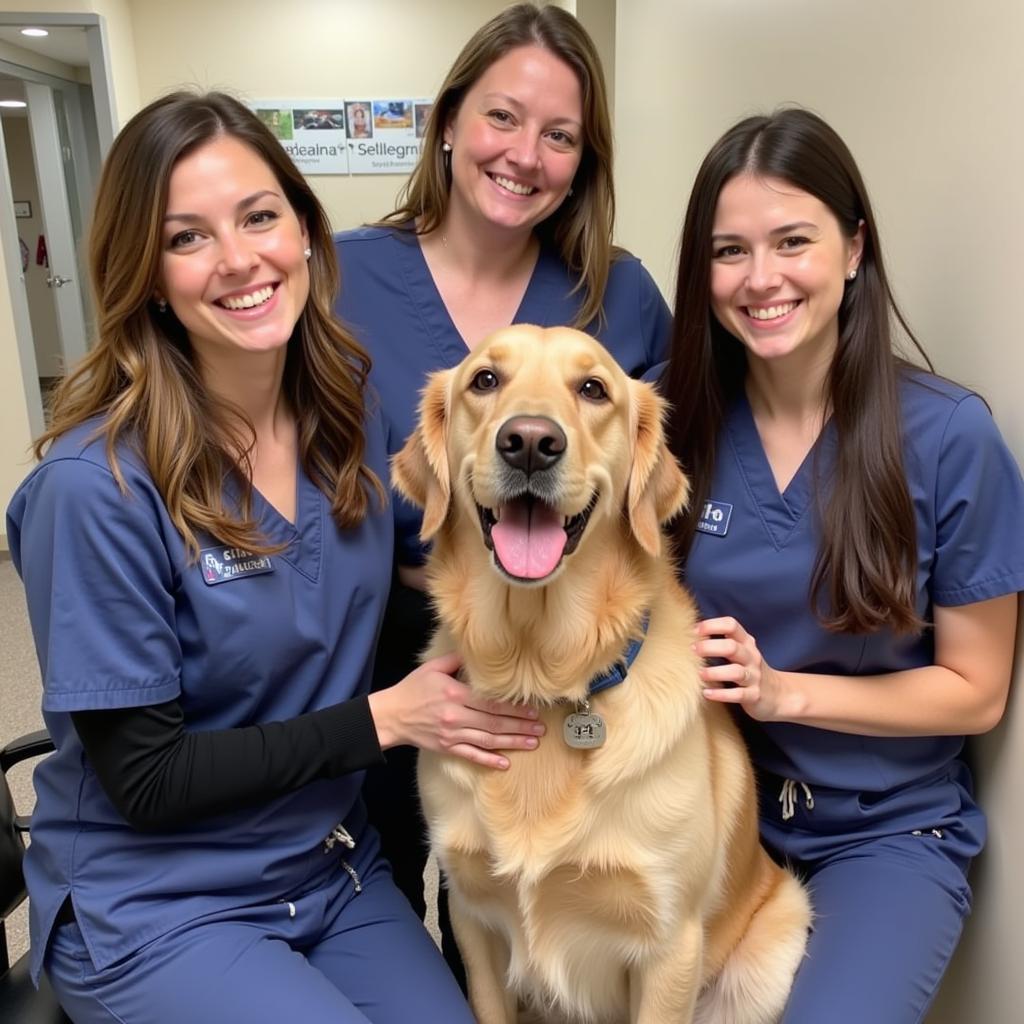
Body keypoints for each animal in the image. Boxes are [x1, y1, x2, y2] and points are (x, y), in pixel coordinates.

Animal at [391, 327, 806, 1024]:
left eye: (593, 389)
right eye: (485, 380)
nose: (531, 441)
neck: (540, 676)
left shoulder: (669, 945)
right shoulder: (474, 921)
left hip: (775, 942)